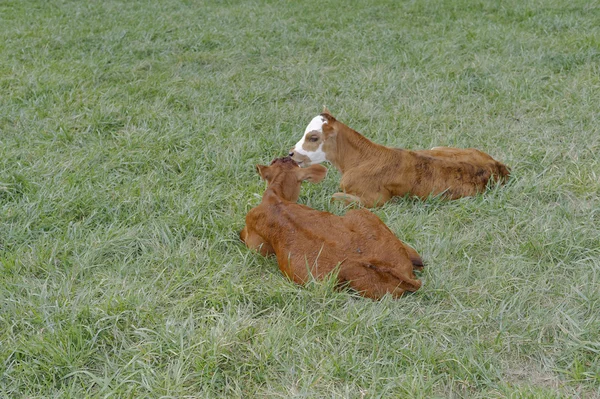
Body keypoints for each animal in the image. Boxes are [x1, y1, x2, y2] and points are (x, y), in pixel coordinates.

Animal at [288, 109, 508, 209]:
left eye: (313, 137)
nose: (291, 153)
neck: (359, 160)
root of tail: (497, 165)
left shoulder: (376, 200)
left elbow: (334, 196)